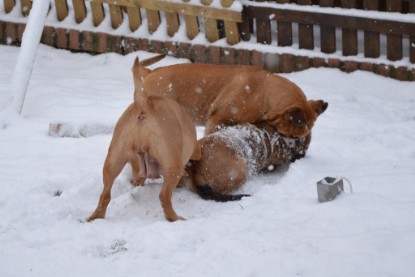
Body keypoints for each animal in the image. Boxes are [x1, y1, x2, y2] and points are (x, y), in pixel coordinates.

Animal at [87, 57, 201, 221]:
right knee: (164, 196)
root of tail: (143, 101)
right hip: (173, 165)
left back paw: (95, 217)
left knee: (105, 194)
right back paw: (175, 218)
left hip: (113, 162)